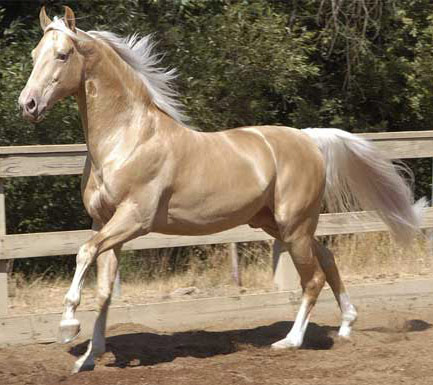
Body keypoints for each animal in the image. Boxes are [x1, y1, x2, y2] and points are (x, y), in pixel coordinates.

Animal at [20, 6, 422, 372]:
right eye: (34, 55)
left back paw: (289, 341)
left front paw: (68, 326)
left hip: (294, 226)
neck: (128, 139)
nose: (28, 104)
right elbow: (104, 290)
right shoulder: (104, 223)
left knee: (313, 278)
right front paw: (88, 358)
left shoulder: (134, 219)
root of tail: (308, 139)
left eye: (62, 54)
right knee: (327, 259)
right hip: (277, 224)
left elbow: (84, 253)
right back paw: (347, 326)